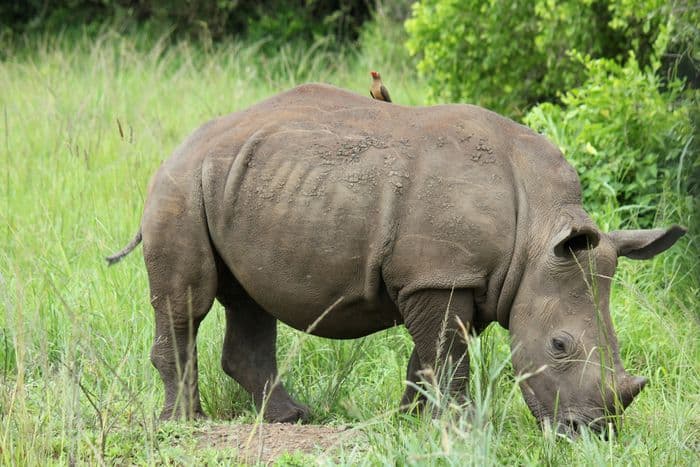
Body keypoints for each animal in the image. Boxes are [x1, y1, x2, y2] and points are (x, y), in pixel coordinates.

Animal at [107, 83, 686, 435]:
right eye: (560, 345)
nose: (590, 433)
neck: (539, 230)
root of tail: (177, 149)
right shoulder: (440, 276)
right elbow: (448, 359)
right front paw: (462, 429)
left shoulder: (453, 280)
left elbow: (429, 359)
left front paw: (411, 422)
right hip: (180, 188)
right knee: (189, 302)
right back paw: (185, 423)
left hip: (240, 183)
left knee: (250, 302)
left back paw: (291, 419)